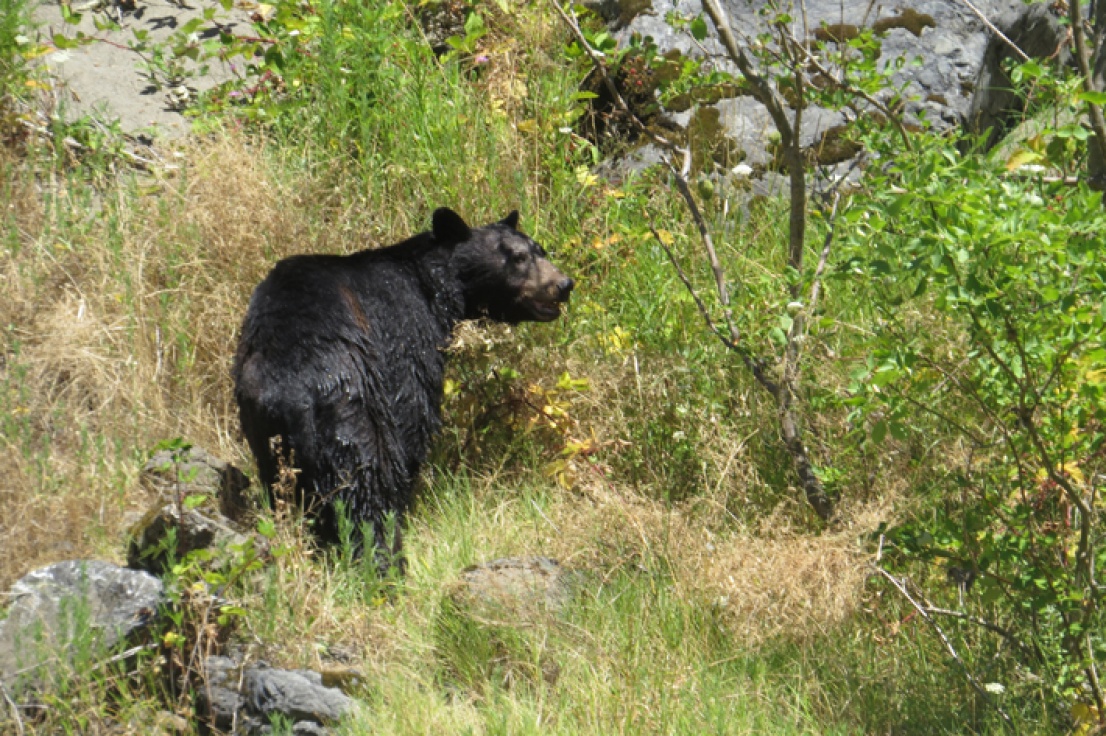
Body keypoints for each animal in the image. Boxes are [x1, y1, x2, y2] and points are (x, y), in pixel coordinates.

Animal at [235, 209, 579, 560]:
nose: (564, 284)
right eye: (518, 257)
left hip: (261, 426)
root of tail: (292, 395)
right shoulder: (404, 329)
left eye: (540, 250)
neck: (432, 286)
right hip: (347, 408)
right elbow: (411, 411)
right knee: (364, 487)